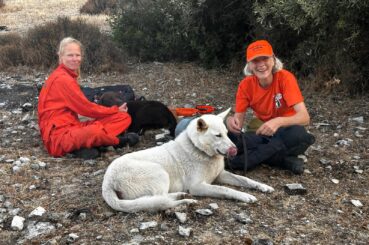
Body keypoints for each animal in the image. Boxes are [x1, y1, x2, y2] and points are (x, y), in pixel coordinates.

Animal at [100, 109, 274, 212]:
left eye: (226, 133)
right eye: (218, 135)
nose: (235, 150)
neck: (200, 150)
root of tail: (107, 182)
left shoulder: (221, 175)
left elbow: (245, 179)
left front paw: (263, 186)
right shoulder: (198, 187)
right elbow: (225, 190)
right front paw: (244, 196)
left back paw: (181, 196)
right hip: (160, 173)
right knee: (159, 200)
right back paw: (184, 200)